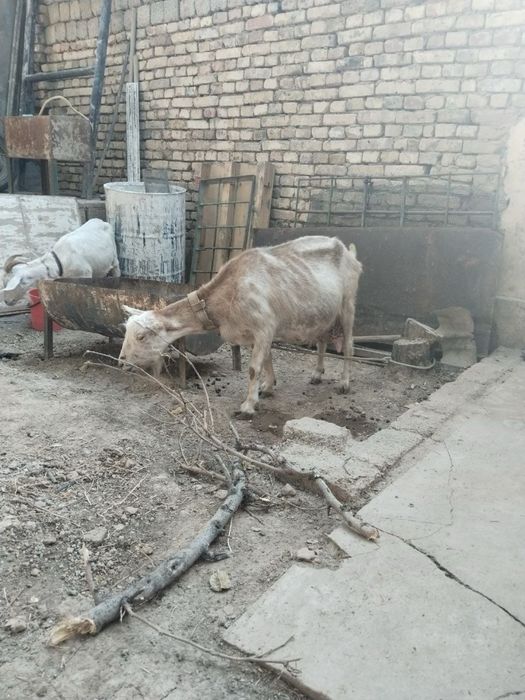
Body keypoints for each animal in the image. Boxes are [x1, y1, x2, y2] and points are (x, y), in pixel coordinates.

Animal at [119, 235, 362, 417]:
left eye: (141, 336)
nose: (121, 362)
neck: (229, 292)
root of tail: (349, 253)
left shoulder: (264, 326)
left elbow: (254, 368)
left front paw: (248, 406)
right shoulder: (254, 334)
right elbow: (266, 360)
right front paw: (268, 387)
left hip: (348, 304)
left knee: (349, 345)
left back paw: (344, 383)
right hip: (325, 313)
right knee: (322, 339)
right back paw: (317, 374)